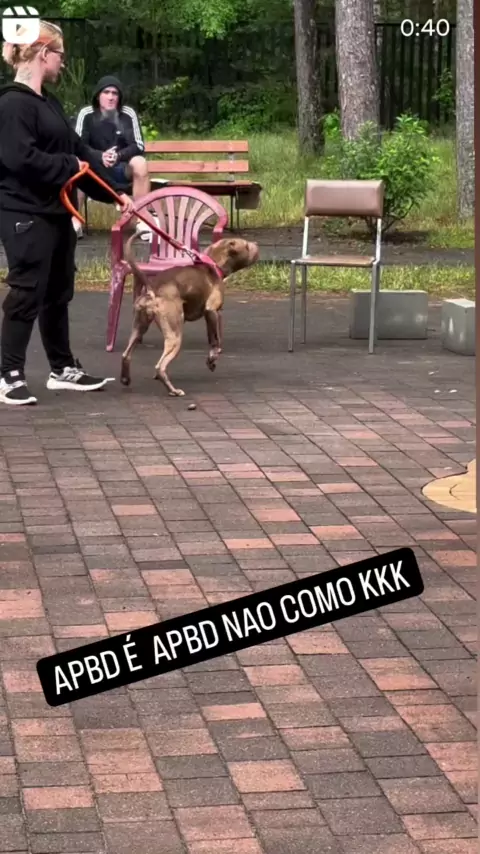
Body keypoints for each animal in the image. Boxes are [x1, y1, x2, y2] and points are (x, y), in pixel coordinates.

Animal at [120, 234, 259, 396]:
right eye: (247, 246)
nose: (256, 243)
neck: (214, 264)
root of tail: (151, 289)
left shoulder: (207, 316)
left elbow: (211, 337)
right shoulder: (212, 310)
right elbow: (215, 341)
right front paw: (212, 359)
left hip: (139, 328)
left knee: (126, 355)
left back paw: (126, 379)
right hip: (175, 336)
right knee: (160, 366)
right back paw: (173, 390)